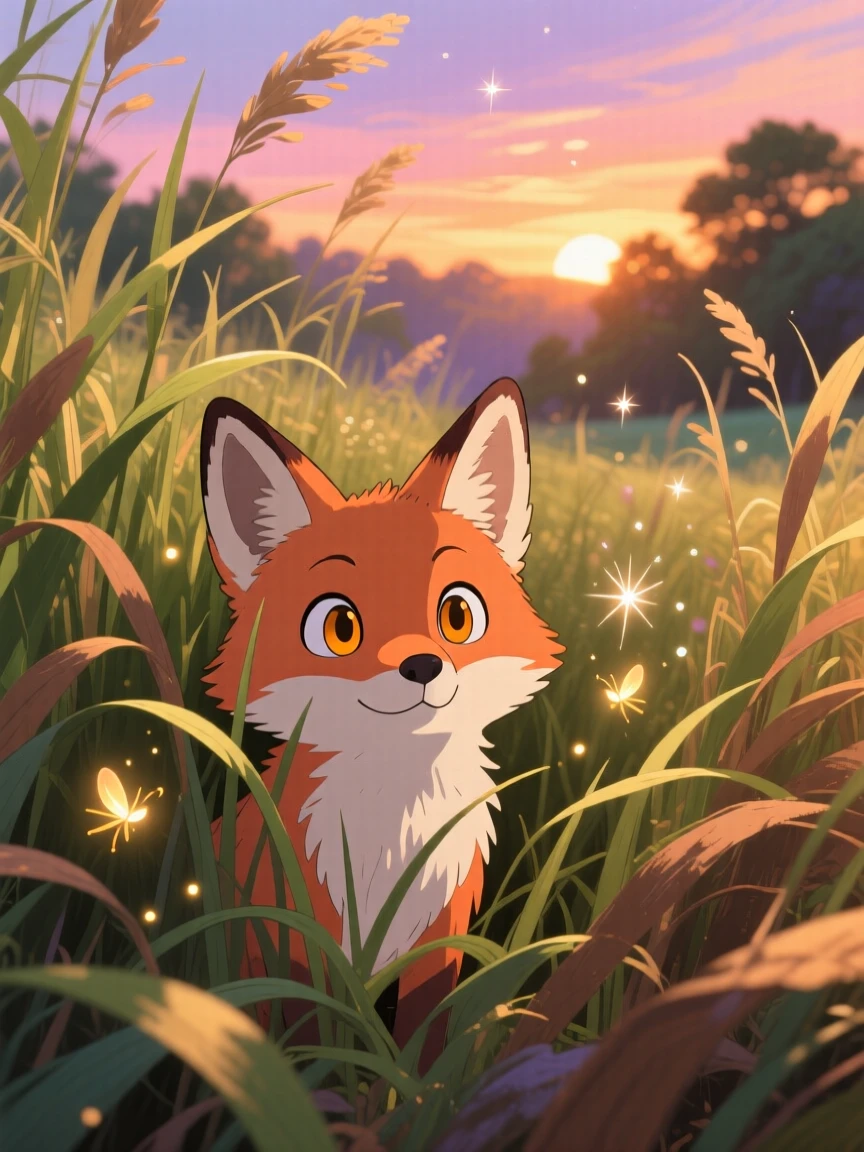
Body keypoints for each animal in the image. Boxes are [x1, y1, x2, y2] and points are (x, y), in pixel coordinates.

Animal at [200, 376, 564, 1070]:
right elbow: (311, 1038)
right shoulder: (300, 936)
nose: (423, 665)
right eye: (340, 626)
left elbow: (423, 1040)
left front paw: (417, 1090)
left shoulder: (440, 938)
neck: (390, 834)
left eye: (456, 614)